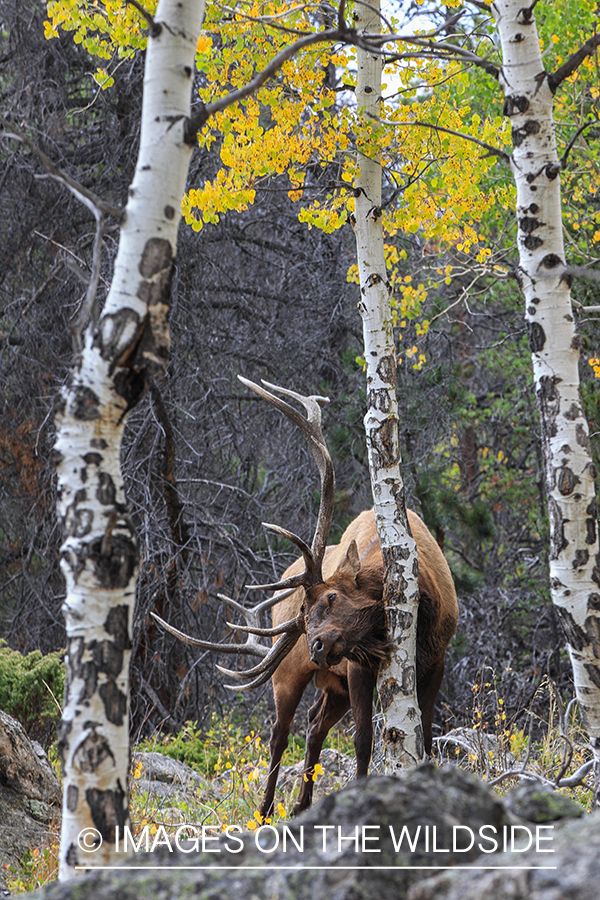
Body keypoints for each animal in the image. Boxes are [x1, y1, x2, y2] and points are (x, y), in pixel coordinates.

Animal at [152, 376, 458, 820]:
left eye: (330, 597)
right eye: (306, 612)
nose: (314, 645)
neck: (426, 603)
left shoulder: (437, 657)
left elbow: (429, 738)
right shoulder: (359, 666)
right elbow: (364, 739)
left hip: (333, 685)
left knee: (314, 725)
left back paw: (302, 804)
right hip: (288, 675)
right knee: (279, 736)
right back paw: (264, 811)